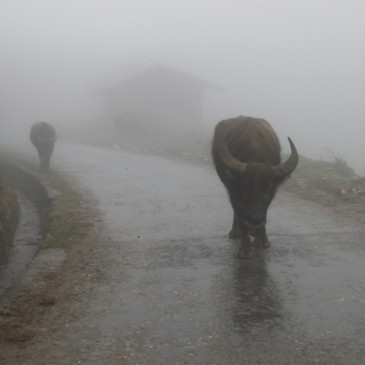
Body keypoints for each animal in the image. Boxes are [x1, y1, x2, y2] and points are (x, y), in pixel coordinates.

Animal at [212, 115, 298, 258]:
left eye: (268, 189)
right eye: (245, 187)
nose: (255, 219)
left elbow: (264, 211)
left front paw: (262, 240)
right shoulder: (234, 191)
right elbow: (241, 215)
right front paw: (246, 248)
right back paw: (236, 231)